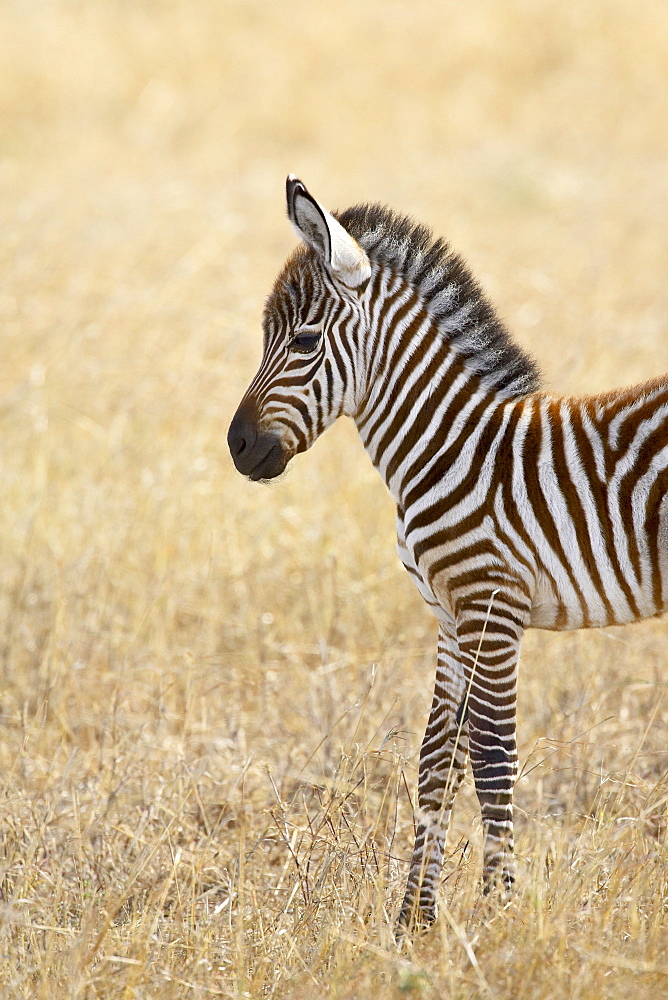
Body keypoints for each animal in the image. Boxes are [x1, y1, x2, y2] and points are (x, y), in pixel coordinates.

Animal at [228, 176, 668, 932]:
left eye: (306, 340)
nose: (237, 447)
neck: (446, 445)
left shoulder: (492, 604)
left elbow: (492, 760)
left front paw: (498, 916)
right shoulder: (449, 616)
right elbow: (437, 760)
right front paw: (414, 919)